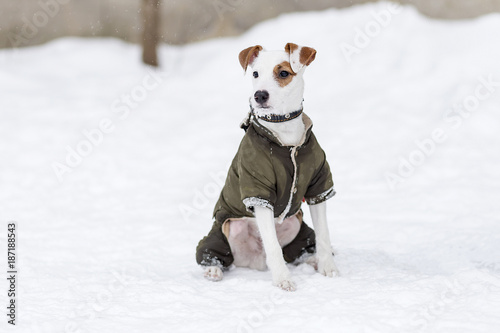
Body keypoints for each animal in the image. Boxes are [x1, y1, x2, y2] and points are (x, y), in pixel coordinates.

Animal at [195, 42, 340, 290]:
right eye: (255, 74)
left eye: (283, 73)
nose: (259, 95)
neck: (283, 134)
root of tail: (257, 261)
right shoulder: (258, 193)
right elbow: (272, 246)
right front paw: (283, 280)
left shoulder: (319, 187)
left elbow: (323, 234)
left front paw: (328, 269)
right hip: (229, 227)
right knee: (220, 255)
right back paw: (213, 269)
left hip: (295, 224)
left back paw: (311, 259)